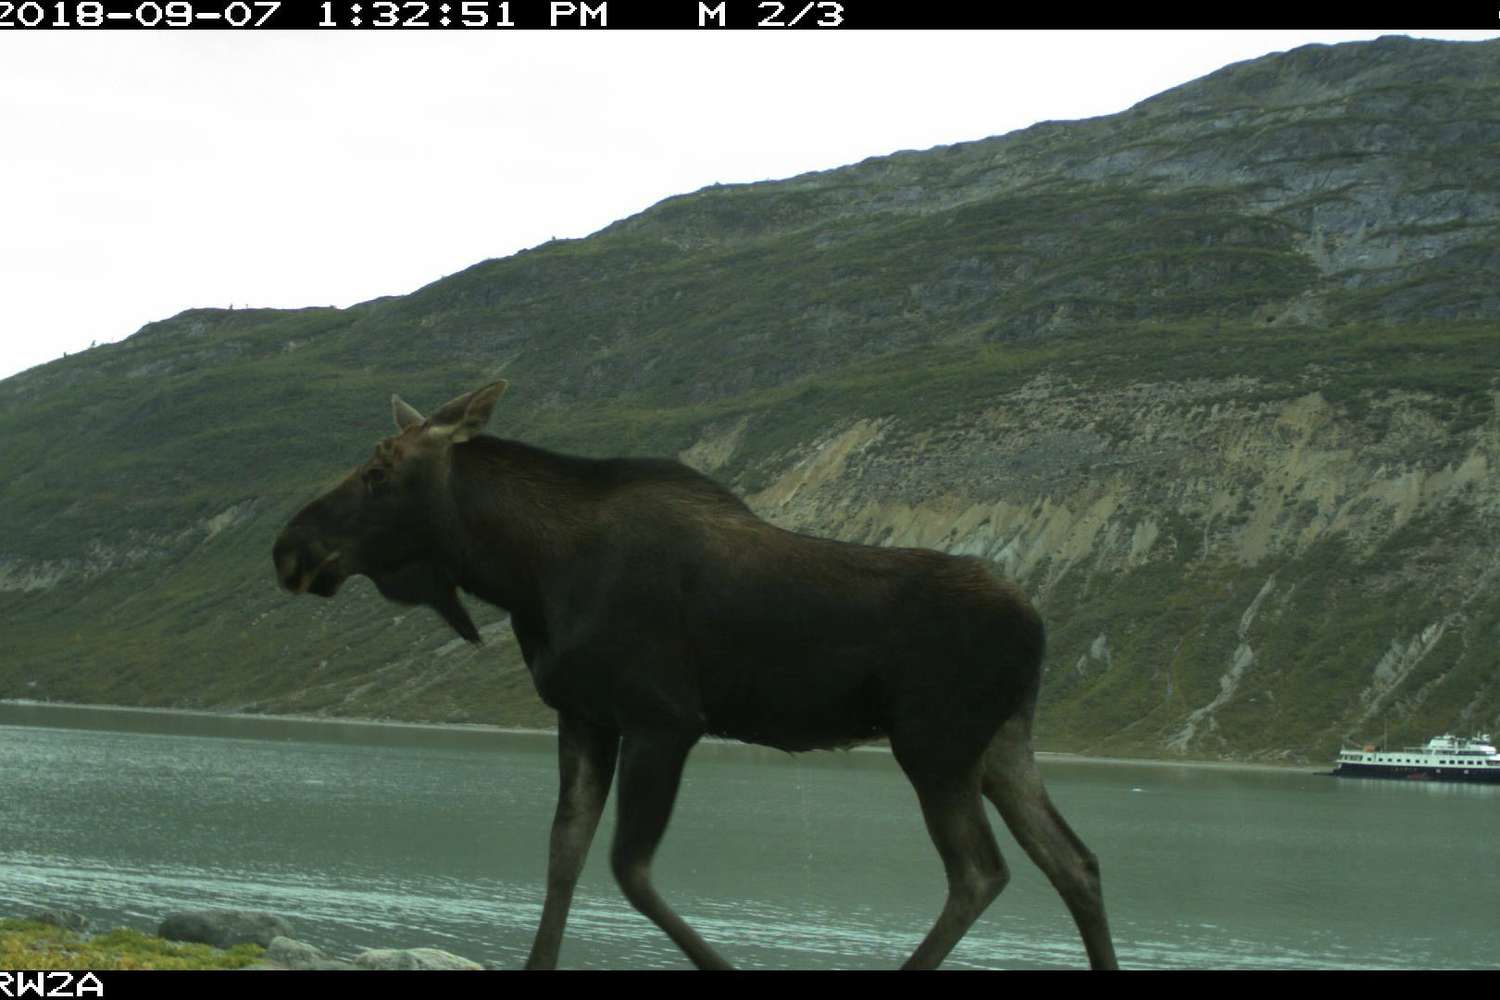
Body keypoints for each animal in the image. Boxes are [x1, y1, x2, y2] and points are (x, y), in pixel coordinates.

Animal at [273, 383, 1116, 971]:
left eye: (379, 468)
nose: (289, 546)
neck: (524, 571)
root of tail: (1038, 622)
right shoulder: (583, 715)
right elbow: (563, 855)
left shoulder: (663, 718)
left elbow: (630, 868)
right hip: (1002, 743)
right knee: (1074, 860)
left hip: (935, 744)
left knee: (980, 873)